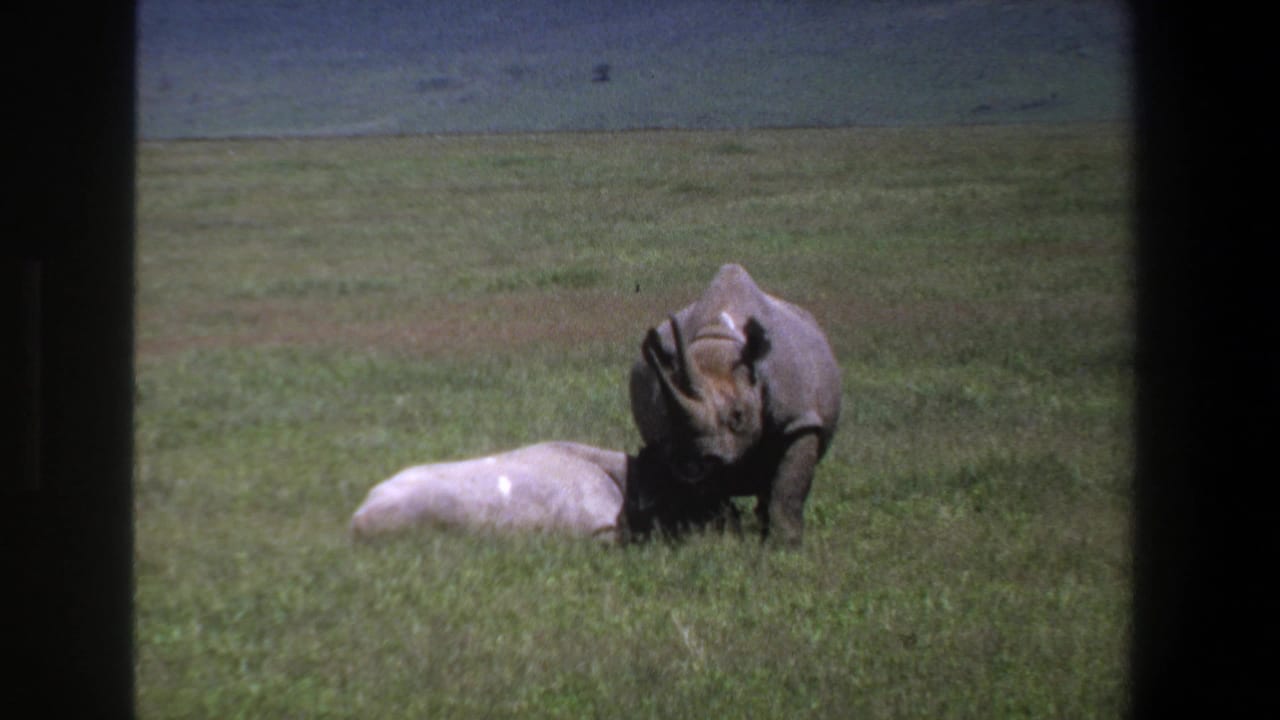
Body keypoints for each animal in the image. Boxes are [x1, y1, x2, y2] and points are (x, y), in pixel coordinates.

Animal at [627, 263, 841, 546]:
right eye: (668, 417)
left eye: (739, 416)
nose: (692, 462)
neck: (718, 340)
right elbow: (711, 494)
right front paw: (720, 539)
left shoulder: (798, 418)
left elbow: (789, 486)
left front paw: (785, 545)